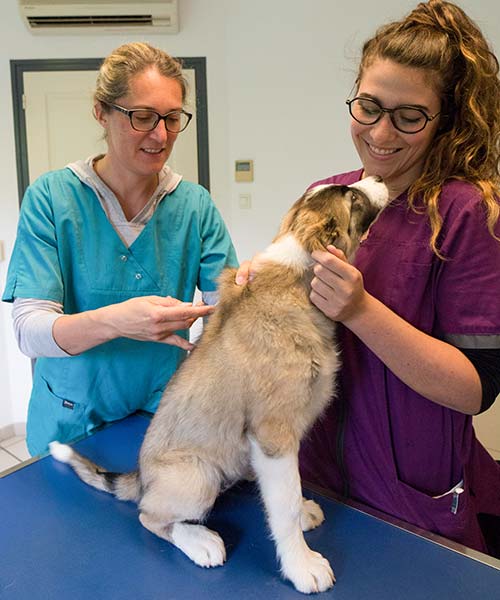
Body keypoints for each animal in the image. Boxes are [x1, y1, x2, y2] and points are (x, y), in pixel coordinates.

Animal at [49, 175, 386, 596]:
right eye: (352, 197)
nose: (379, 178)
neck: (295, 282)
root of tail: (142, 478)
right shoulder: (273, 436)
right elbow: (285, 505)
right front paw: (301, 566)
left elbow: (290, 494)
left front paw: (303, 517)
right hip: (197, 477)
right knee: (149, 517)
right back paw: (200, 541)